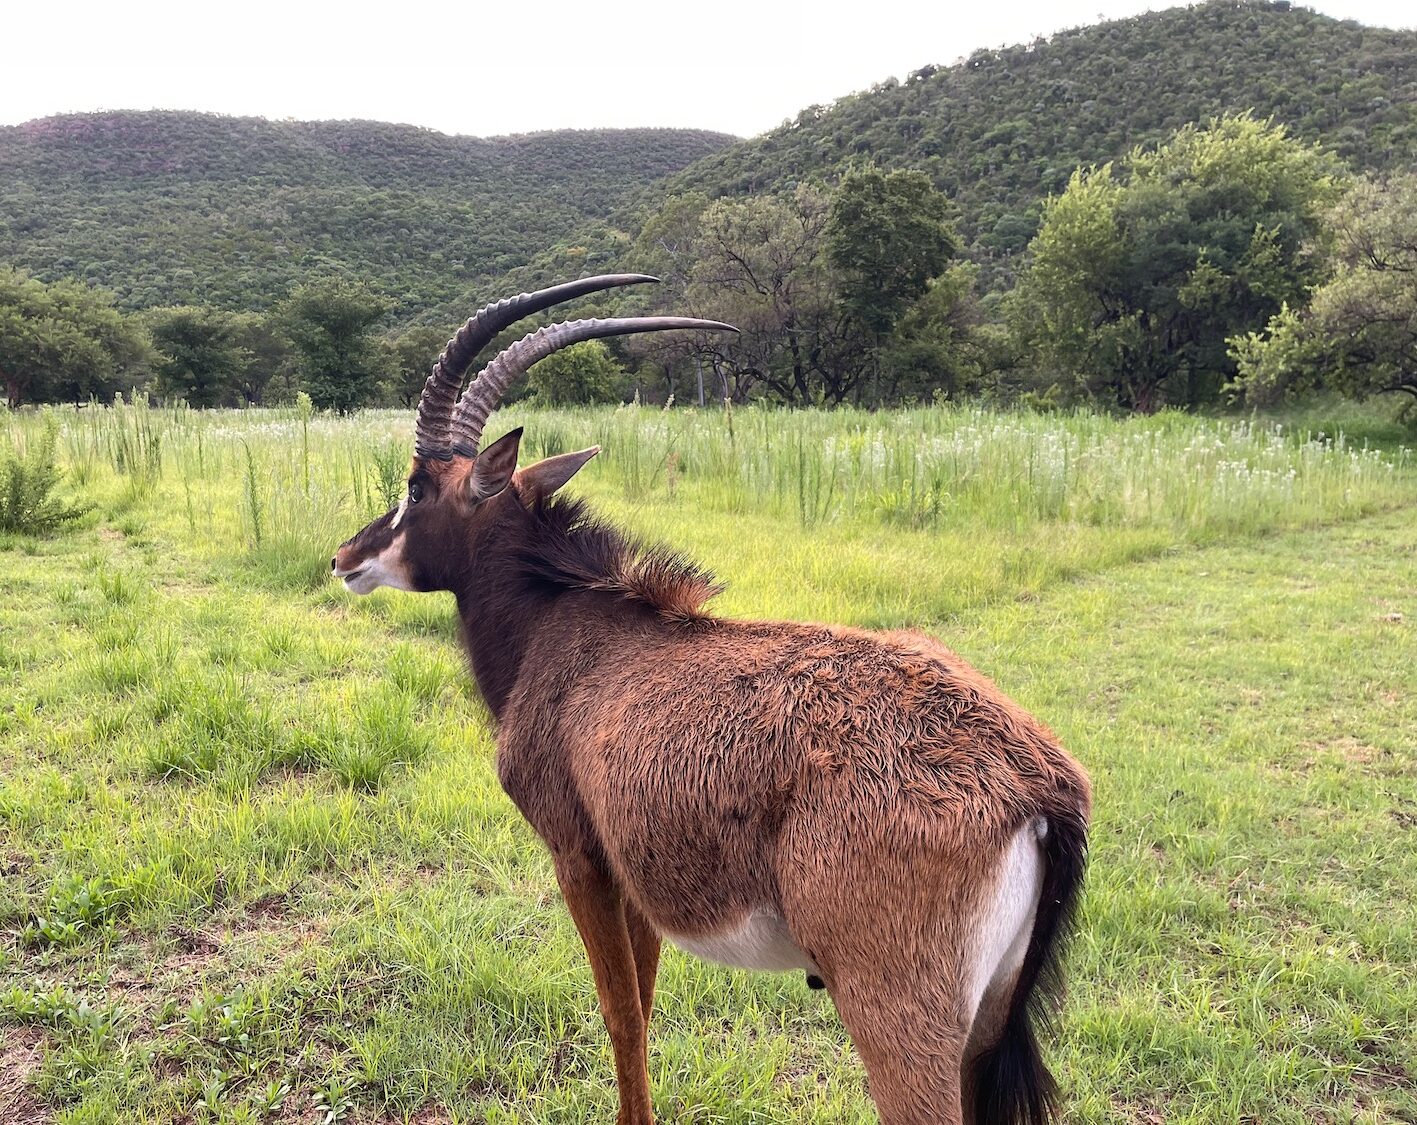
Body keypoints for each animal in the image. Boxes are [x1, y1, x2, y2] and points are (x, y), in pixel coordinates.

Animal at [334, 273, 1093, 1122]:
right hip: (986, 1020)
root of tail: (1037, 782)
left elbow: (621, 1016)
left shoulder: (578, 858)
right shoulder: (634, 878)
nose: (344, 557)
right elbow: (645, 1003)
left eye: (415, 486)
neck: (562, 623)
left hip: (896, 1017)